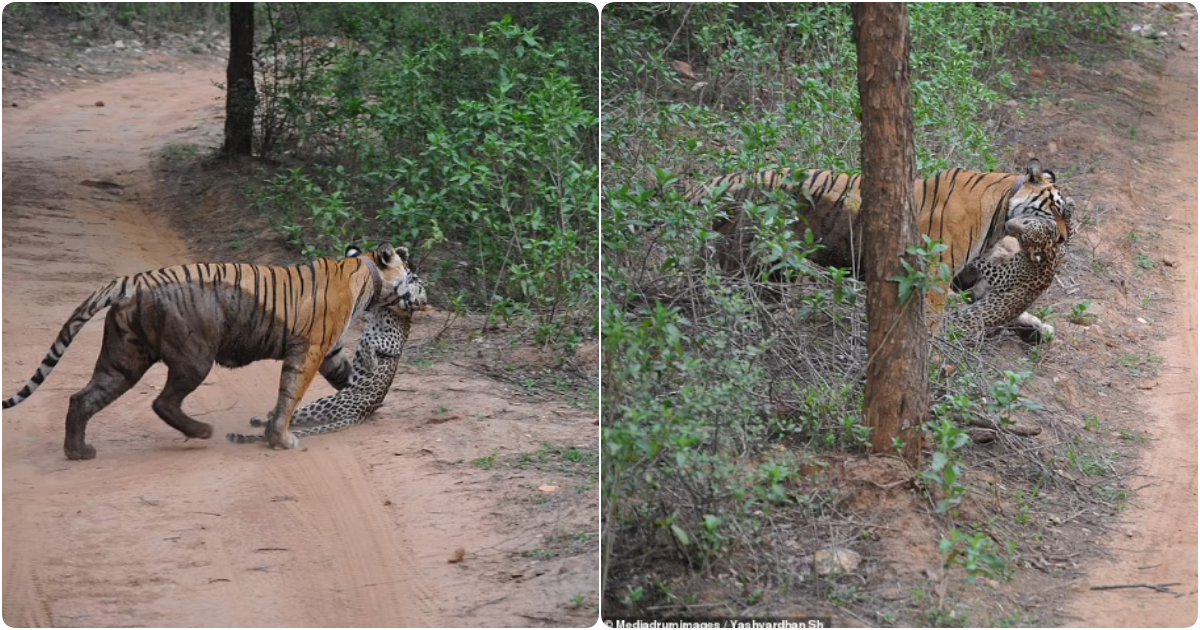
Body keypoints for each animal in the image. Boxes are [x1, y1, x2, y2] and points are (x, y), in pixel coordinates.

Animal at [2, 243, 422, 458]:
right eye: (413, 274)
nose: (421, 291)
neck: (365, 274)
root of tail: (133, 280)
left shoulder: (331, 351)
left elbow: (344, 378)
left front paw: (364, 404)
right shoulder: (310, 350)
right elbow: (289, 396)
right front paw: (280, 438)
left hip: (123, 359)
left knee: (82, 398)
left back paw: (79, 451)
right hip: (194, 356)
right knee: (163, 401)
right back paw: (202, 431)